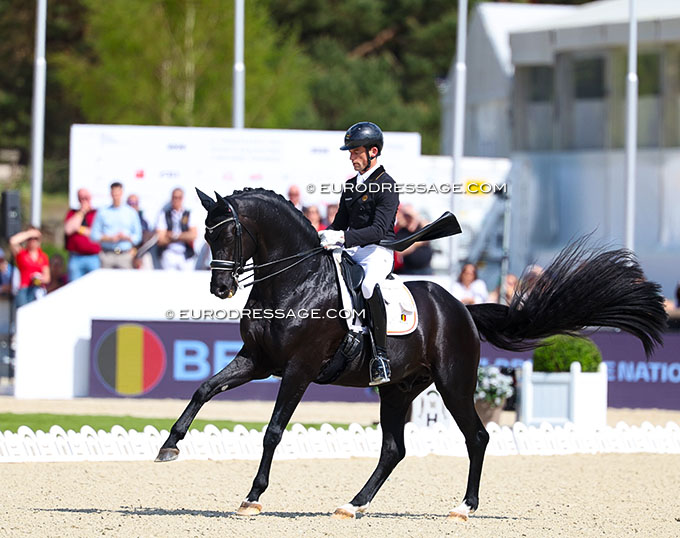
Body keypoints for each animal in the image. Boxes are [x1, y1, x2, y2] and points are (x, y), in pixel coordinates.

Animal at [155, 187, 667, 520]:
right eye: (205, 234)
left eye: (229, 233)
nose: (221, 288)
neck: (294, 281)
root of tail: (461, 307)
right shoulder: (258, 361)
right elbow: (204, 389)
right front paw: (169, 445)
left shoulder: (297, 370)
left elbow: (273, 431)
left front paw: (253, 497)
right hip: (398, 390)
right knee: (394, 448)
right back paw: (353, 505)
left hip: (453, 384)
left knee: (477, 438)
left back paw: (464, 508)